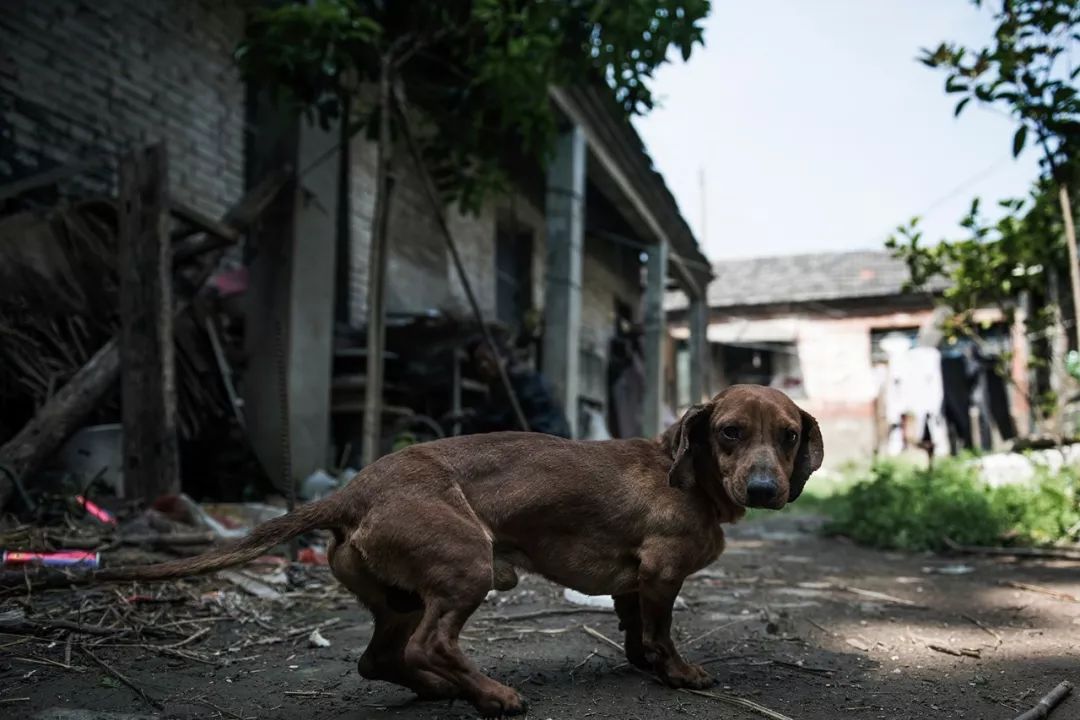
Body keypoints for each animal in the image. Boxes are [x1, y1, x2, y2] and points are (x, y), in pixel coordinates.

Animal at [88, 386, 820, 716]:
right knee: (429, 644)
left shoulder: (633, 583)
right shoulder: (663, 574)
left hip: (402, 599)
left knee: (379, 659)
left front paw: (642, 662)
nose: (765, 489)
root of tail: (353, 492)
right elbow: (663, 634)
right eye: (729, 432)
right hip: (466, 568)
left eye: (788, 436)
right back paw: (491, 694)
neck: (688, 475)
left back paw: (447, 690)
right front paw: (679, 673)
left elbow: (637, 629)